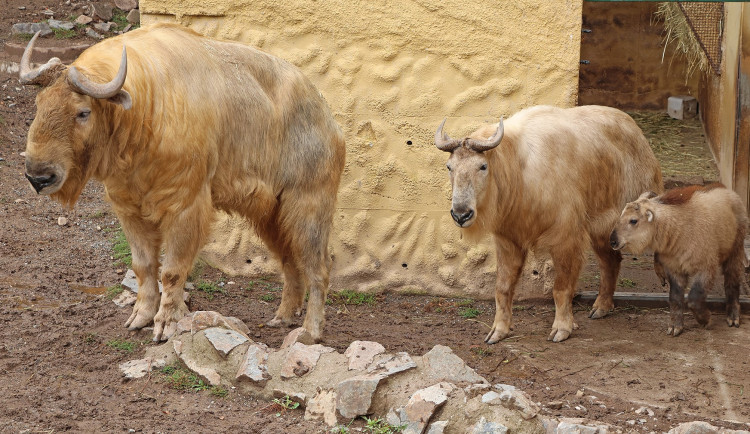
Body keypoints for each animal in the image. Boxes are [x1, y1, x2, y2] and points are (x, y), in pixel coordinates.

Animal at [19, 23, 346, 342]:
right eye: (38, 104)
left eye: (83, 112)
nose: (38, 177)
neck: (146, 111)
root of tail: (329, 119)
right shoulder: (128, 209)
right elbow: (143, 266)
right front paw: (140, 317)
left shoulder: (185, 207)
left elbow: (172, 271)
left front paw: (165, 323)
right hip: (271, 215)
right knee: (290, 261)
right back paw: (284, 316)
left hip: (308, 205)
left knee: (318, 267)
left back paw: (311, 330)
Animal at [438, 104, 668, 342]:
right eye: (449, 167)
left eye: (482, 166)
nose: (461, 215)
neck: (519, 169)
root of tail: (635, 130)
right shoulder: (509, 240)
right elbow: (502, 287)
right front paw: (499, 330)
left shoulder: (565, 239)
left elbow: (561, 288)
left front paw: (562, 328)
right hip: (602, 229)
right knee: (610, 262)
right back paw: (601, 307)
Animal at [612, 184, 748, 336]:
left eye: (633, 220)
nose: (612, 241)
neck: (677, 229)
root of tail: (725, 189)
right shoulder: (674, 269)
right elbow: (675, 298)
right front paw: (675, 326)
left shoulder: (706, 267)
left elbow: (694, 298)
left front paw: (705, 320)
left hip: (735, 249)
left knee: (732, 281)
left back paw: (733, 316)